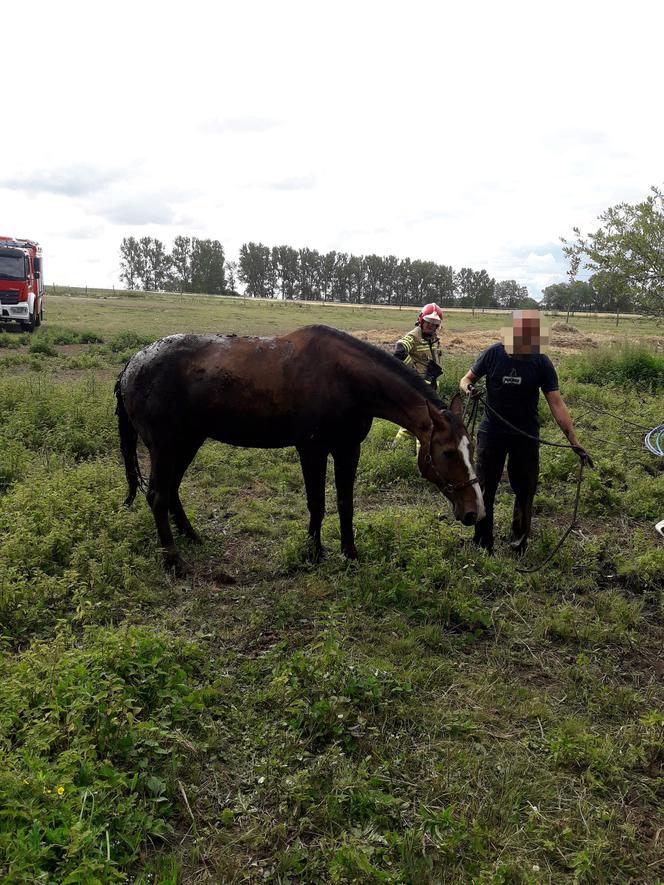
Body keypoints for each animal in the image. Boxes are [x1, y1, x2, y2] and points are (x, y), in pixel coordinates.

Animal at [114, 322, 486, 572]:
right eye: (448, 453)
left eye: (472, 449)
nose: (476, 512)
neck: (345, 379)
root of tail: (132, 365)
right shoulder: (312, 450)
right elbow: (317, 504)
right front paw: (314, 551)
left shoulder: (348, 449)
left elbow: (345, 503)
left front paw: (350, 553)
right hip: (166, 447)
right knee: (158, 496)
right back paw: (173, 559)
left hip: (187, 442)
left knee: (172, 491)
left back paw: (191, 536)